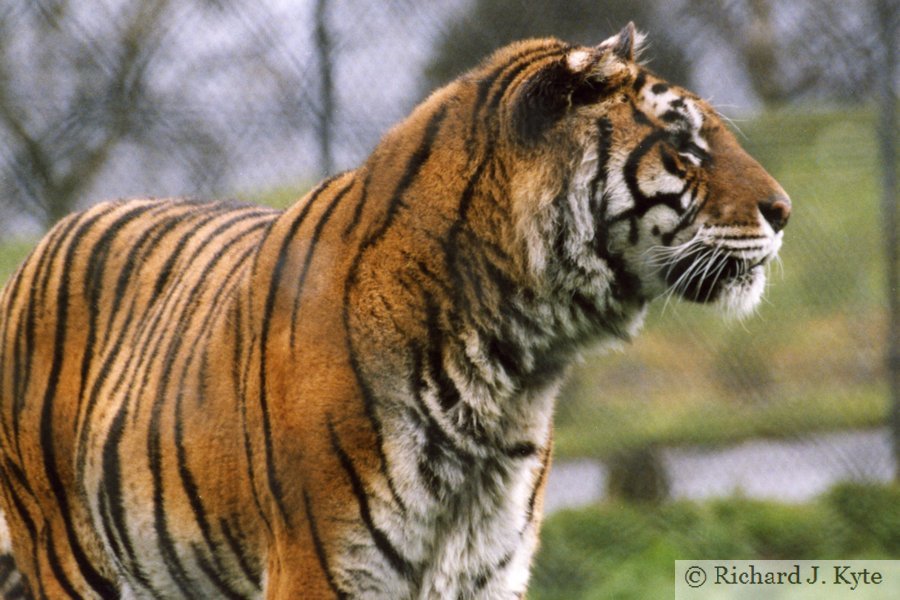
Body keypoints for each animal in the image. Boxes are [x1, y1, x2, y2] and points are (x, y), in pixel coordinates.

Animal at [0, 23, 788, 600]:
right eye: (683, 147)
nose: (783, 211)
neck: (512, 367)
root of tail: (46, 240)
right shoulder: (320, 570)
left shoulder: (486, 574)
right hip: (68, 560)